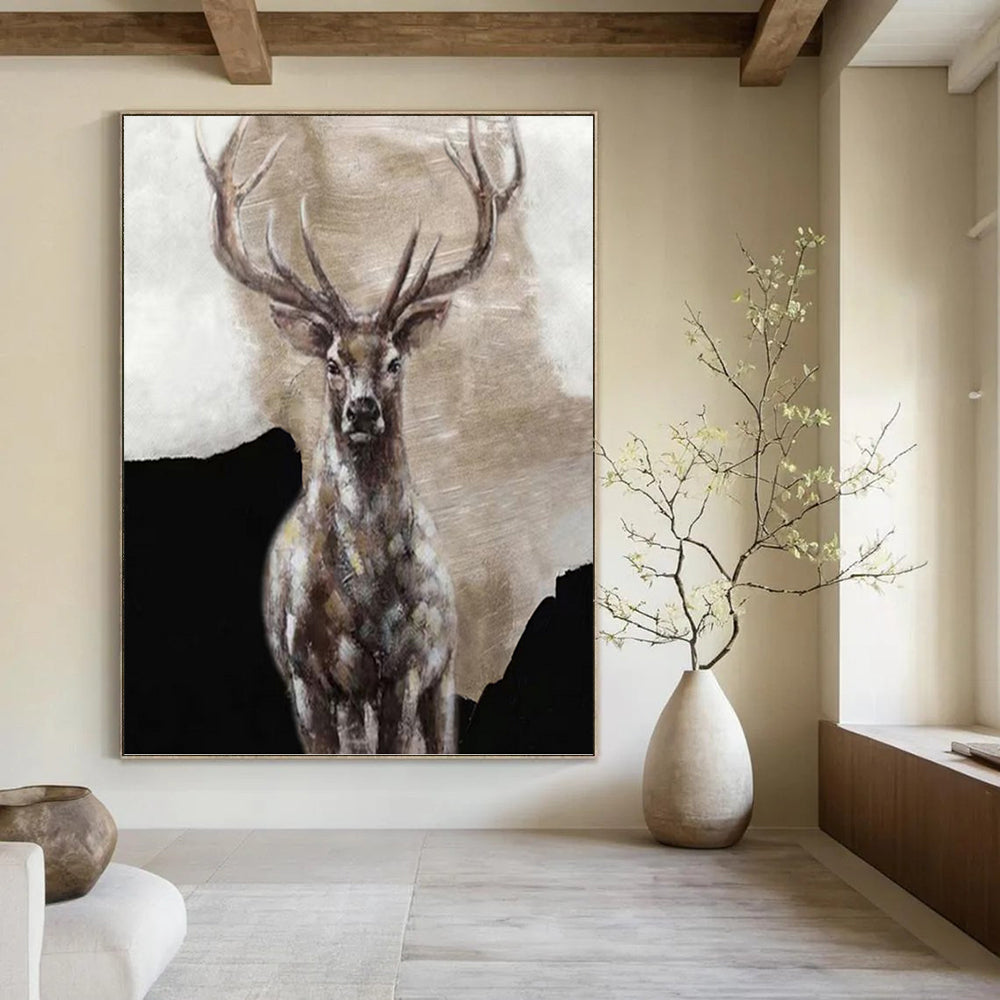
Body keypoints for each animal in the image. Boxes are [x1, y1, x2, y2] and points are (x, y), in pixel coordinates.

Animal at [195, 115, 524, 754]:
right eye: (331, 361)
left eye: (394, 361)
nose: (364, 410)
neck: (361, 598)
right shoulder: (304, 674)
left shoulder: (410, 668)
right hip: (353, 696)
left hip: (444, 671)